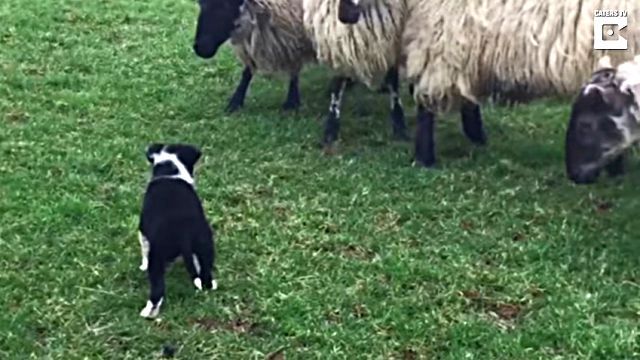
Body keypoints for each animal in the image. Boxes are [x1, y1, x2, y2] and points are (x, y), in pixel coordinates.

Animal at [138, 143, 218, 318]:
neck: (170, 172)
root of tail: (184, 233)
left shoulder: (143, 231)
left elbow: (144, 251)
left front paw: (142, 266)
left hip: (157, 259)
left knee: (157, 290)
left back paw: (148, 312)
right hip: (205, 245)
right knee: (206, 274)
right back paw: (209, 285)